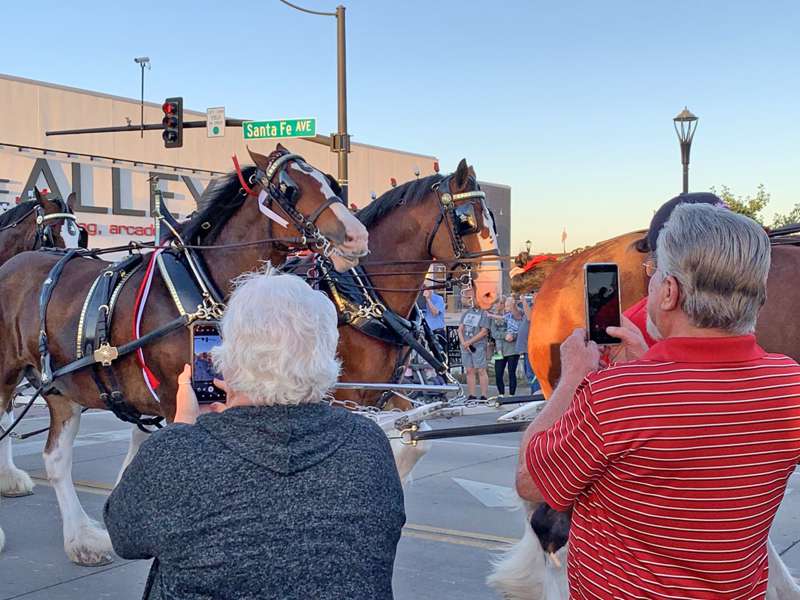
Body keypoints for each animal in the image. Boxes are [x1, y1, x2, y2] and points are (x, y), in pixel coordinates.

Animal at [0, 144, 368, 564]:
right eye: (290, 187)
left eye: (330, 182)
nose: (356, 236)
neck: (202, 280)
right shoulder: (172, 397)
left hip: (62, 386)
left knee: (56, 457)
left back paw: (81, 539)